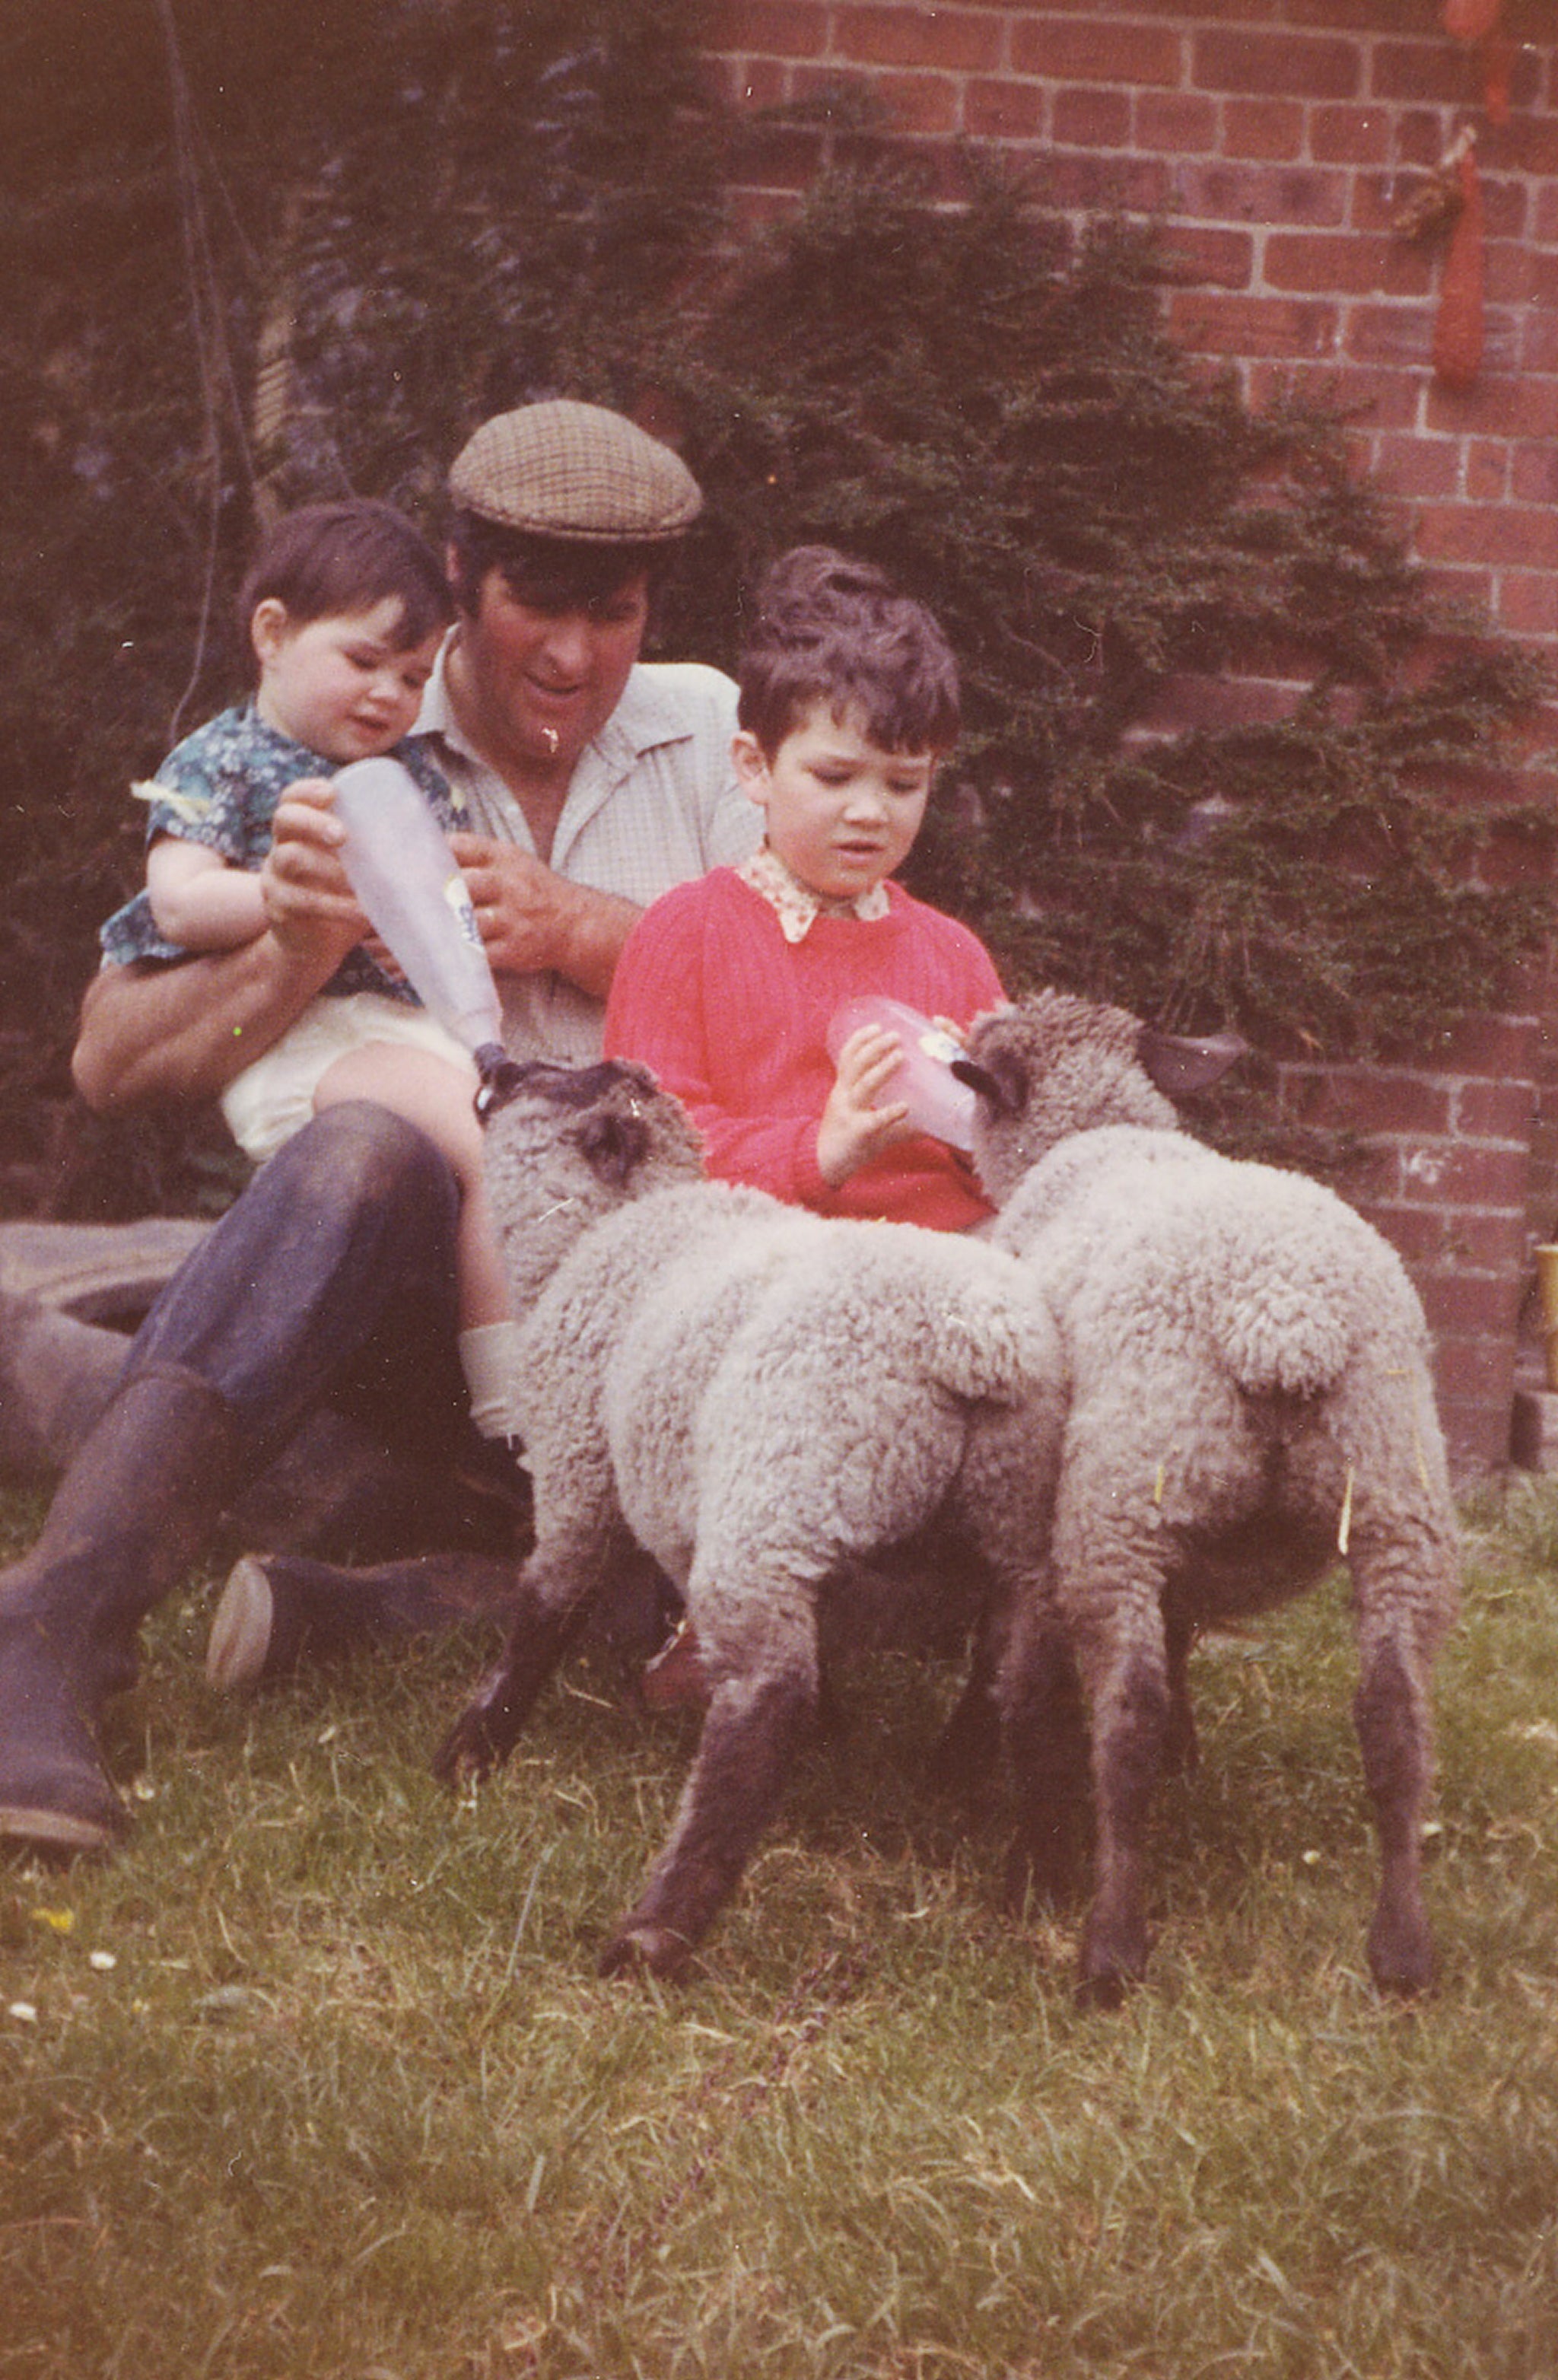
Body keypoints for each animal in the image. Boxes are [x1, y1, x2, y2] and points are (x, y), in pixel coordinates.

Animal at [437, 1061, 1075, 1970]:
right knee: (1023, 1678)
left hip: (775, 1502)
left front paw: (471, 1753)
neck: (604, 1228)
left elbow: (545, 1606)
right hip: (1012, 1527)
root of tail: (976, 1344)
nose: (494, 1061)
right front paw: (835, 1730)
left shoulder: (577, 1468)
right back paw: (1036, 1869)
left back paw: (653, 1935)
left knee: (765, 1697)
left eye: (559, 1082)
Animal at [955, 985, 1465, 2009]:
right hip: (1395, 1496)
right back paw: (1399, 1955)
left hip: (1122, 1494)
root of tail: (1280, 1317)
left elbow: (1023, 1672)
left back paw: (1110, 1949)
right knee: (1394, 1717)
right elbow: (1181, 1629)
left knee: (1125, 1713)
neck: (1100, 1132)